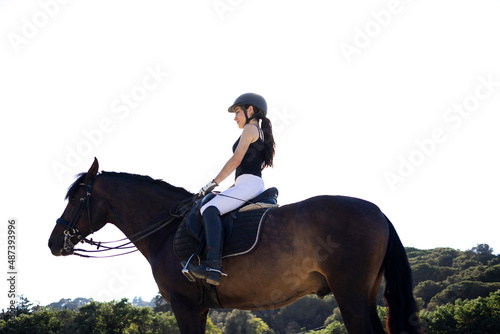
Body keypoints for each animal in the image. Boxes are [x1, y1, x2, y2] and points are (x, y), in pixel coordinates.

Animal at [47, 159, 422, 334]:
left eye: (76, 198)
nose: (53, 243)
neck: (166, 230)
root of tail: (377, 212)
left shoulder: (183, 304)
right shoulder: (199, 308)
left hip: (350, 293)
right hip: (365, 292)